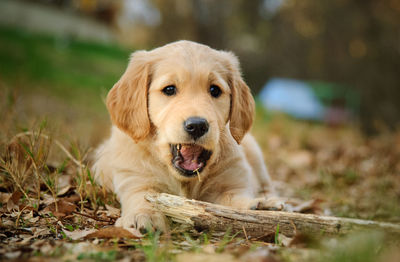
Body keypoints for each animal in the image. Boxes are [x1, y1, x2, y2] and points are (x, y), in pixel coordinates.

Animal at [93, 40, 282, 231]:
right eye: (169, 89)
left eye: (215, 90)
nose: (197, 126)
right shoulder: (134, 176)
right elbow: (143, 196)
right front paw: (145, 215)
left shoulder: (231, 179)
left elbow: (234, 200)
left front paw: (258, 207)